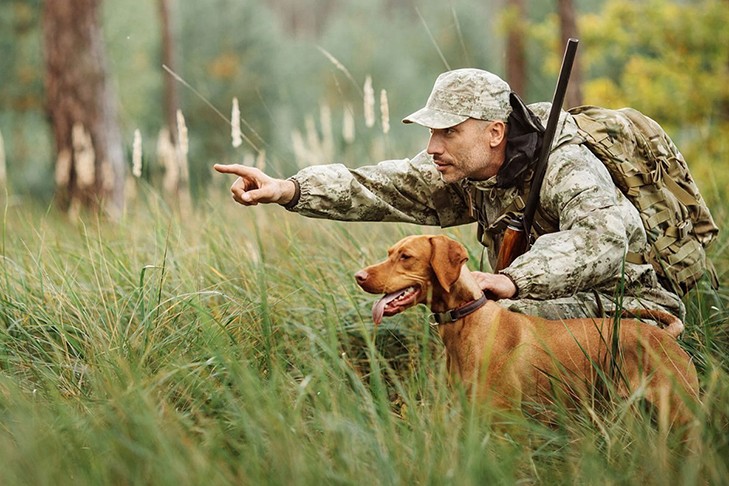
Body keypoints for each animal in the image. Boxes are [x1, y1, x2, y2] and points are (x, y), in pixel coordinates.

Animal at [352, 235, 700, 430]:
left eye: (406, 256)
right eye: (390, 253)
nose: (359, 276)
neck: (467, 321)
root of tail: (666, 336)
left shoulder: (507, 422)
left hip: (681, 416)